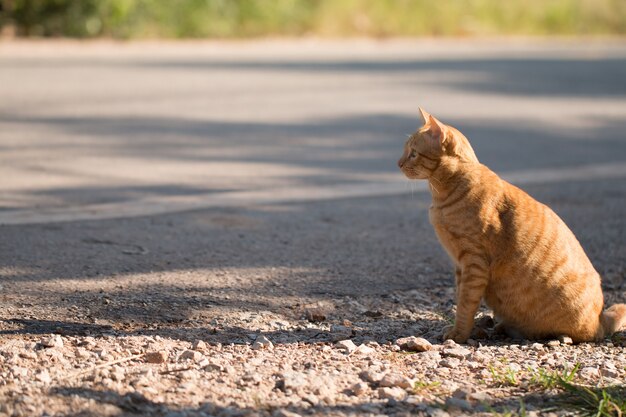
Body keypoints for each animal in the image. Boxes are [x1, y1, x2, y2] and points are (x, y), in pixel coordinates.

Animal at [398, 109, 620, 342]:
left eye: (413, 153)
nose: (398, 163)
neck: (444, 193)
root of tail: (601, 319)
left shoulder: (474, 262)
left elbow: (466, 304)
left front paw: (458, 334)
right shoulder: (460, 265)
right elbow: (460, 299)